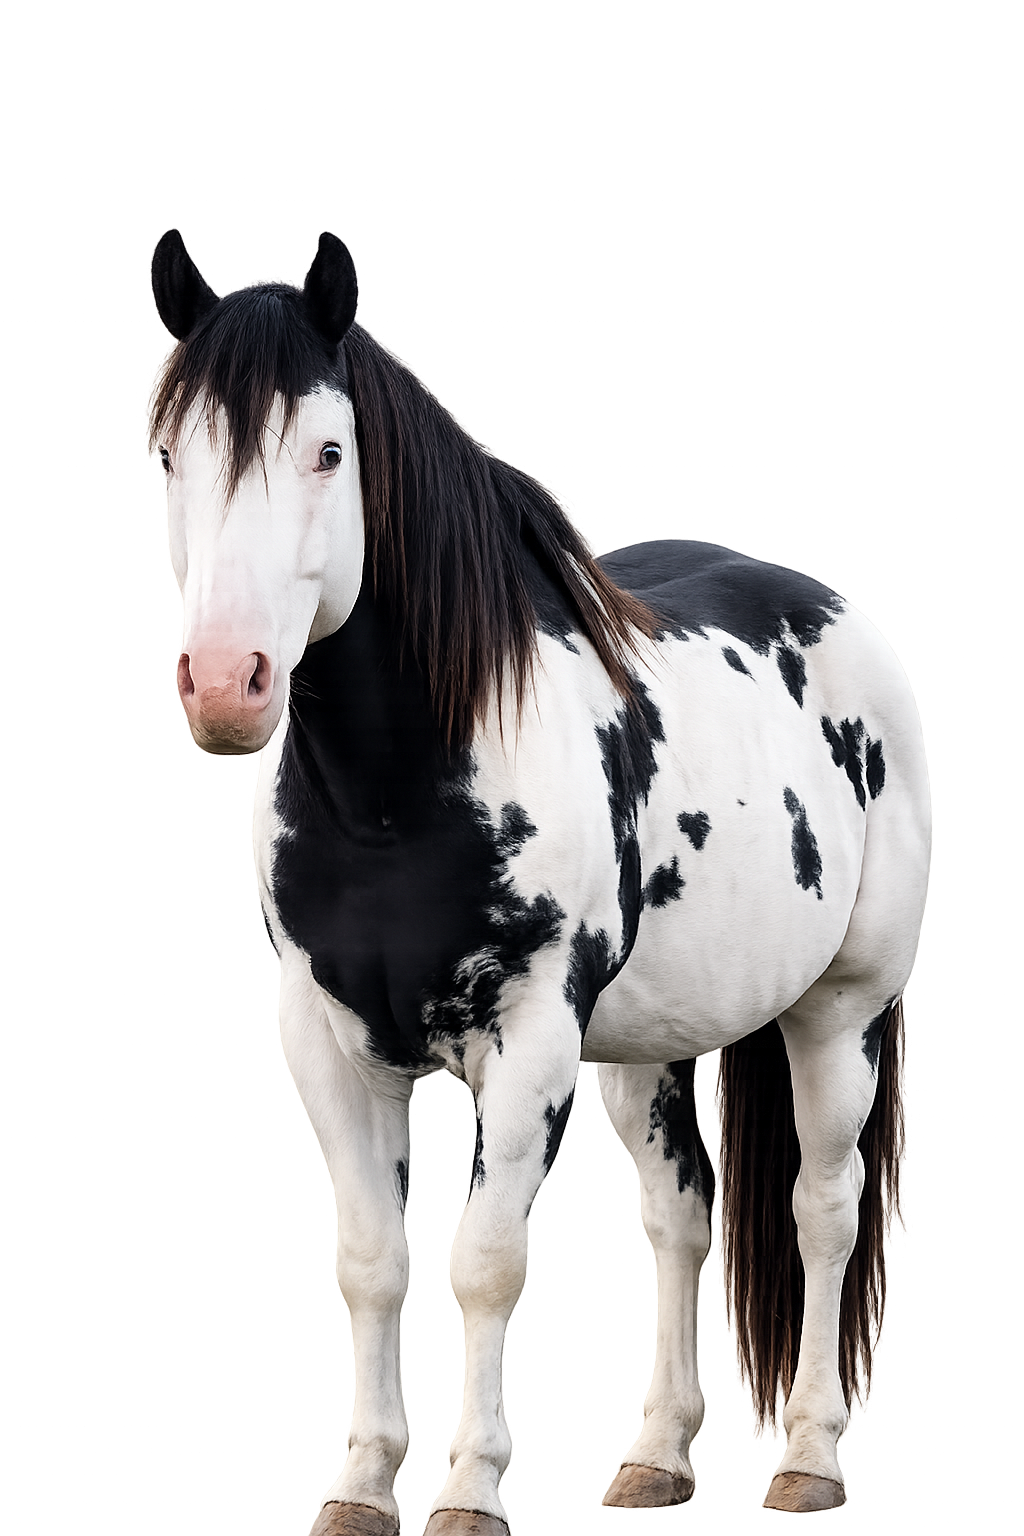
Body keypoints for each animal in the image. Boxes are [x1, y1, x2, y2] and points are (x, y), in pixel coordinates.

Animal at [150, 229, 930, 1535]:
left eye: (327, 451)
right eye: (171, 455)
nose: (225, 682)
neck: (398, 801)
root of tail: (833, 609)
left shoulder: (525, 1043)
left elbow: (484, 1265)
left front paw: (471, 1489)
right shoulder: (326, 1042)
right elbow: (371, 1267)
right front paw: (361, 1483)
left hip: (840, 1013)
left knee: (824, 1208)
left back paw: (808, 1460)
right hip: (646, 1048)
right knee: (681, 1216)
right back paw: (657, 1457)